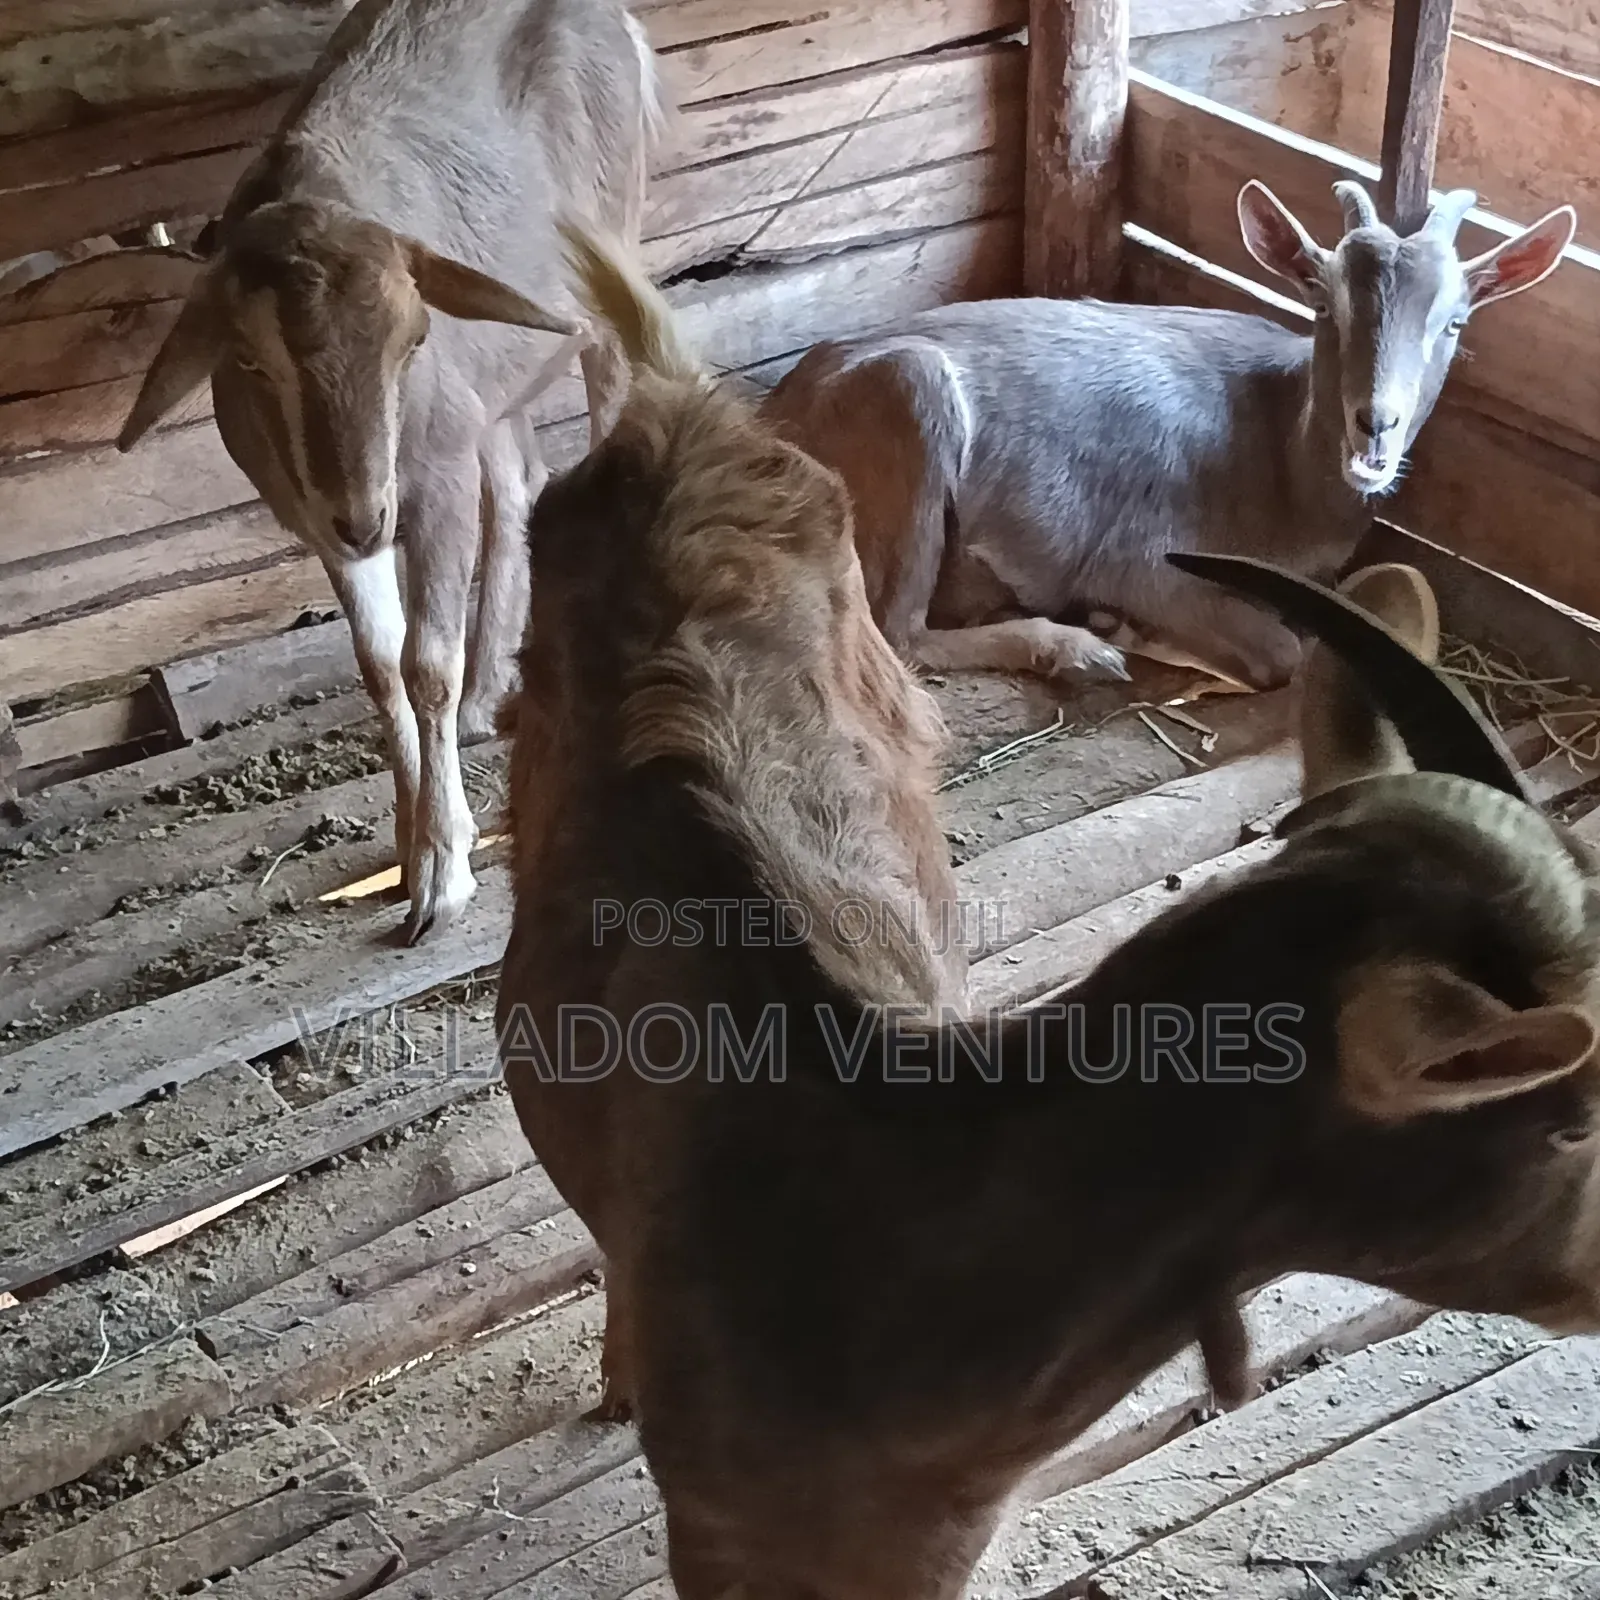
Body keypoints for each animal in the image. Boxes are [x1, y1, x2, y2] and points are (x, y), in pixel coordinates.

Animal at [114, 0, 665, 943]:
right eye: (250, 362)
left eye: (414, 338)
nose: (369, 517)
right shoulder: (315, 513)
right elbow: (378, 665)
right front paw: (412, 844)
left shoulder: (432, 480)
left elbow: (424, 665)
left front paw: (443, 871)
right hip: (492, 380)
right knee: (517, 475)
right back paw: (490, 691)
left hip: (605, 266)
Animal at [760, 179, 1576, 692]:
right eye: (1324, 307)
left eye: (1456, 322)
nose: (1375, 423)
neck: (1278, 452)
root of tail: (779, 411)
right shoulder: (1140, 555)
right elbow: (1282, 649)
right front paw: (1129, 630)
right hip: (911, 398)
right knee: (898, 633)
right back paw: (1074, 650)